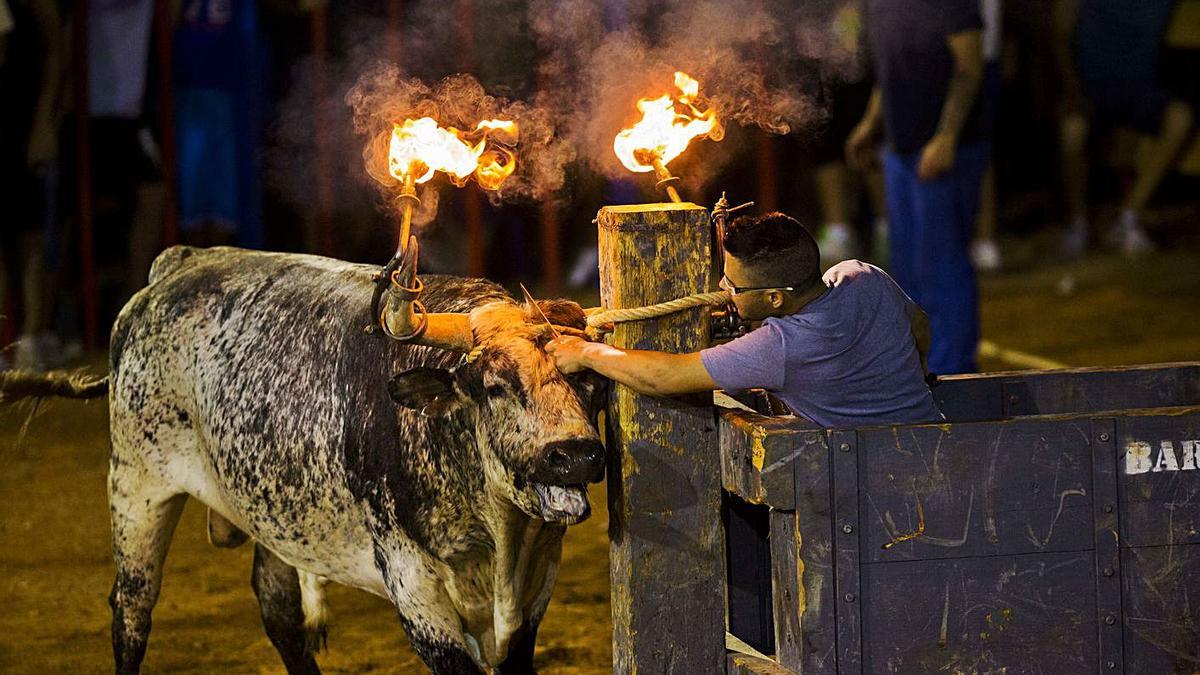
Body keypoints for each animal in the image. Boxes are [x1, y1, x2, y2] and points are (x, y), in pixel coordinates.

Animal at [10, 243, 609, 667]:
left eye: (589, 380)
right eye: (493, 386)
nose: (575, 456)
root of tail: (177, 264)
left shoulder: (534, 589)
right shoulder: (416, 592)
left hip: (270, 511)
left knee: (278, 611)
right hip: (136, 487)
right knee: (131, 610)